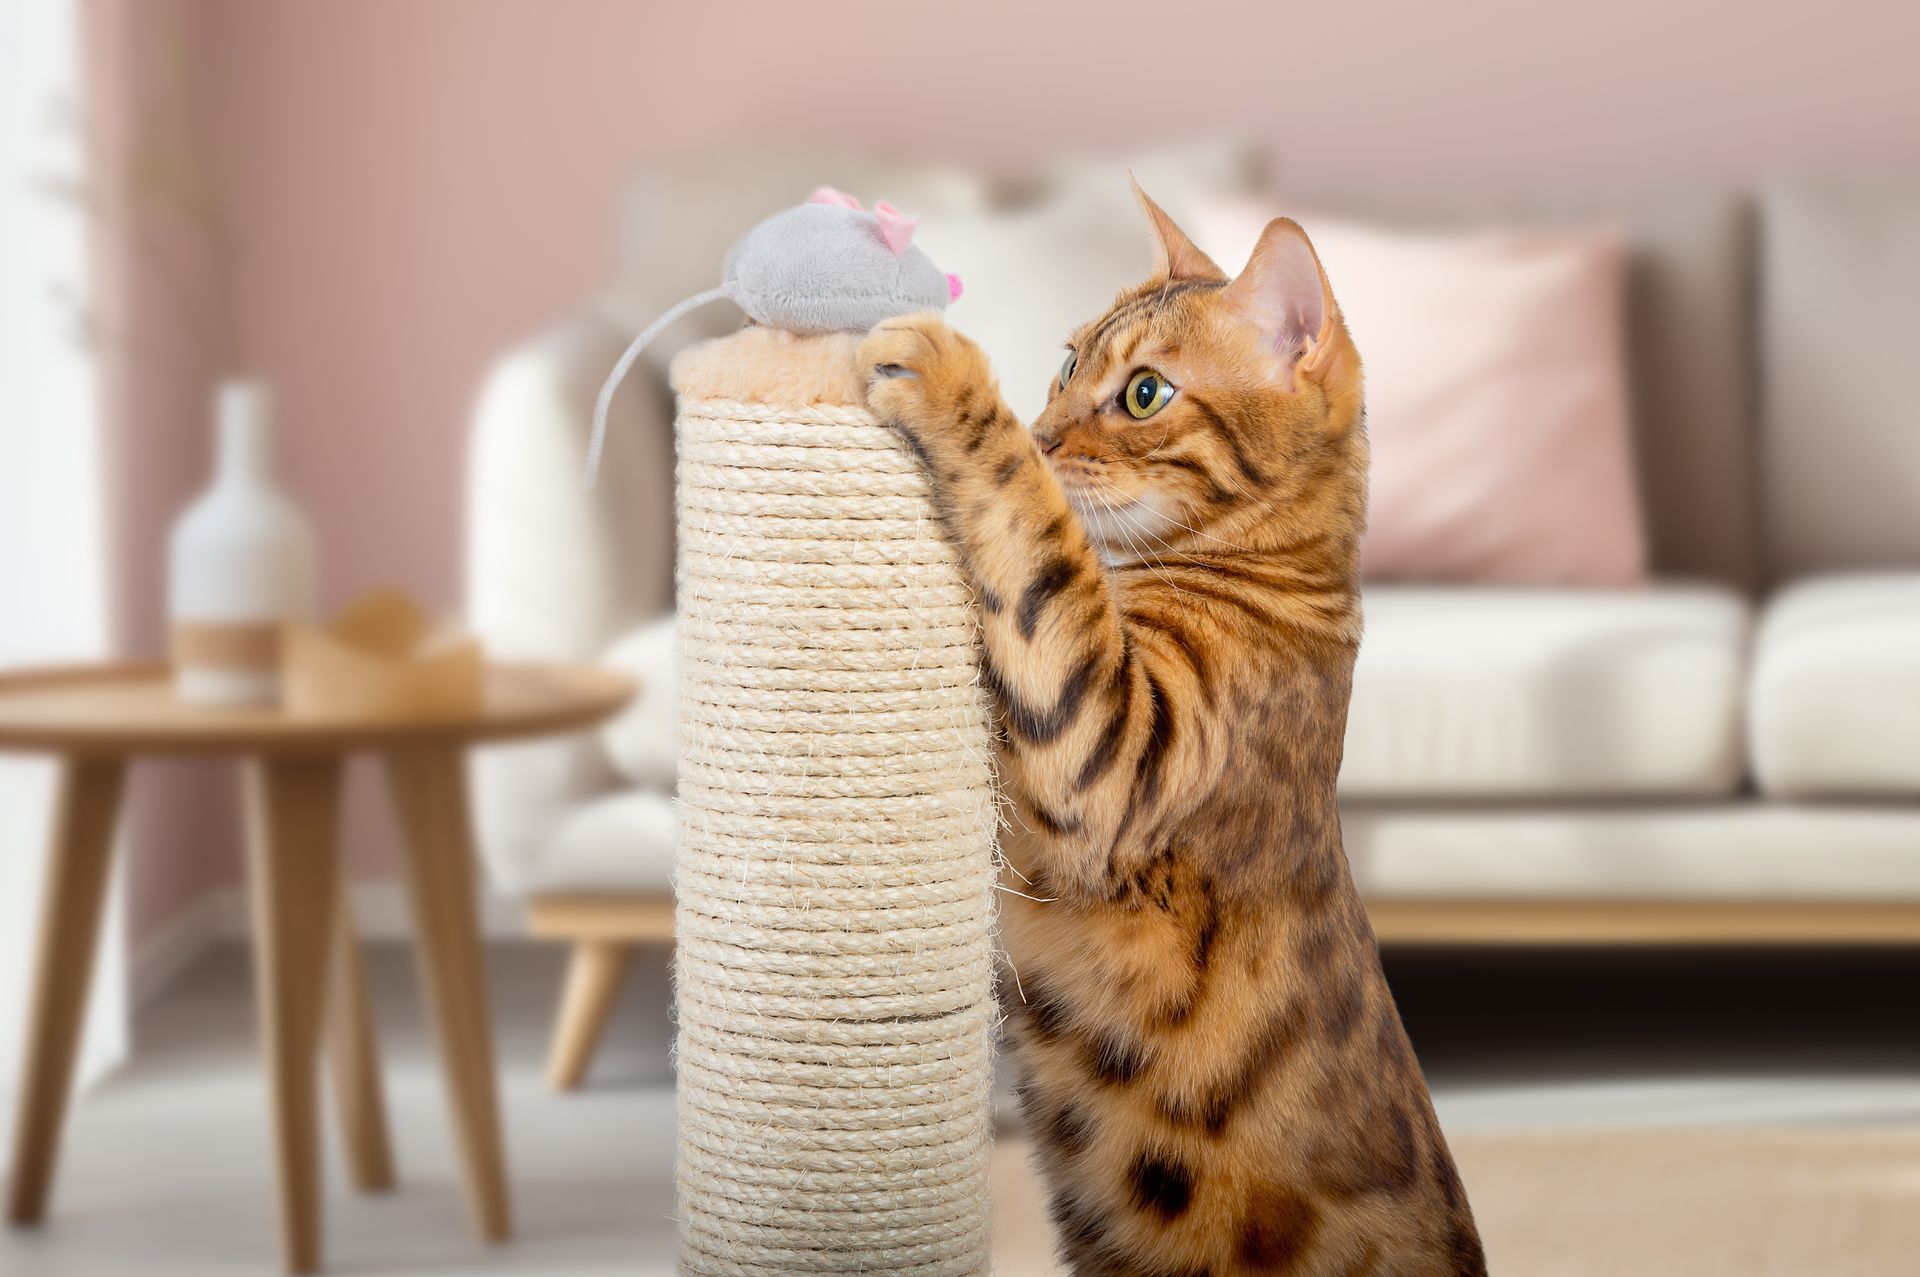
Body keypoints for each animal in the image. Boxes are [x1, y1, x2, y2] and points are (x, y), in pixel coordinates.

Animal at [860, 184, 1482, 1267]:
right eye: (1068, 364)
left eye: (1145, 393)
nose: (1045, 430)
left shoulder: (1114, 751)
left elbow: (1038, 537)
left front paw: (952, 376)